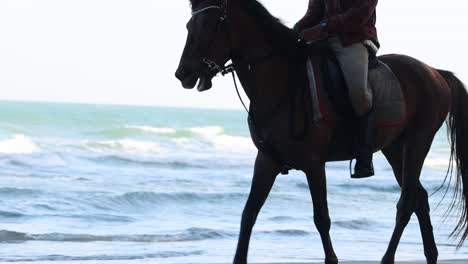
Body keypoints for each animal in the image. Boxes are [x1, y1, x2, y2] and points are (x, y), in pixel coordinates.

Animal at [175, 1, 468, 262]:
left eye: (209, 24)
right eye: (189, 25)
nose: (182, 74)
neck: (282, 85)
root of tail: (435, 72)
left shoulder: (314, 163)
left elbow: (321, 218)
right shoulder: (267, 161)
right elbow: (248, 214)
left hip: (418, 142)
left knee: (406, 204)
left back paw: (388, 258)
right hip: (395, 148)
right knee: (419, 199)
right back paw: (431, 255)